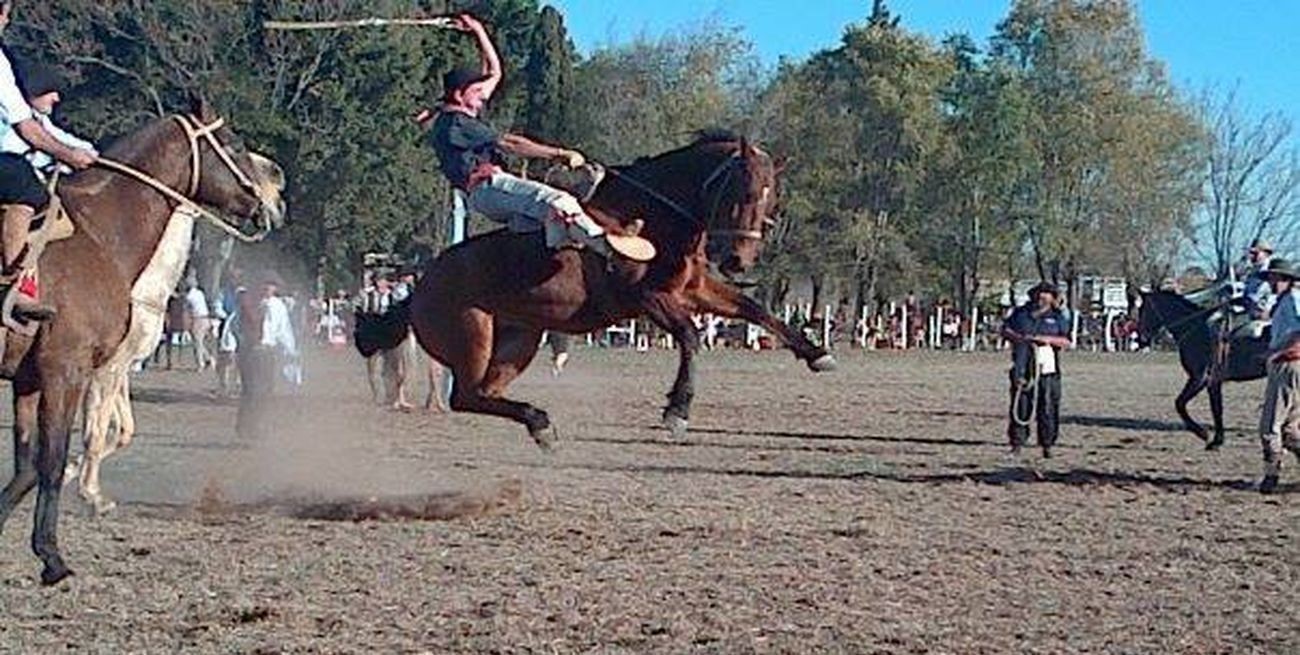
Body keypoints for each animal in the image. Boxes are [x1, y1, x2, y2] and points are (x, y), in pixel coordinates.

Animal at [0, 95, 285, 585]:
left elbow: (30, 464)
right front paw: (56, 550)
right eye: (232, 142)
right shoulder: (71, 370)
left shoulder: (37, 377)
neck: (100, 235)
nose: (274, 191)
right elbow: (62, 454)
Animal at [370, 132, 834, 446]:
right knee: (464, 395)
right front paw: (677, 409)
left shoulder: (695, 289)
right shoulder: (649, 298)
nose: (738, 260)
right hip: (473, 338)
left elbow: (757, 311)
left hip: (519, 339)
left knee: (481, 394)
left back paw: (539, 424)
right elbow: (690, 336)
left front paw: (816, 352)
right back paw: (539, 420)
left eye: (772, 200)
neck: (652, 217)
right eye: (743, 191)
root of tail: (420, 286)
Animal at [1137, 290, 1269, 449]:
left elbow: (1181, 404)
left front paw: (1204, 434)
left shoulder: (1200, 378)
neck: (1197, 330)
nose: (1141, 339)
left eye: (1143, 310)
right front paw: (1217, 439)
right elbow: (1216, 409)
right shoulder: (1213, 382)